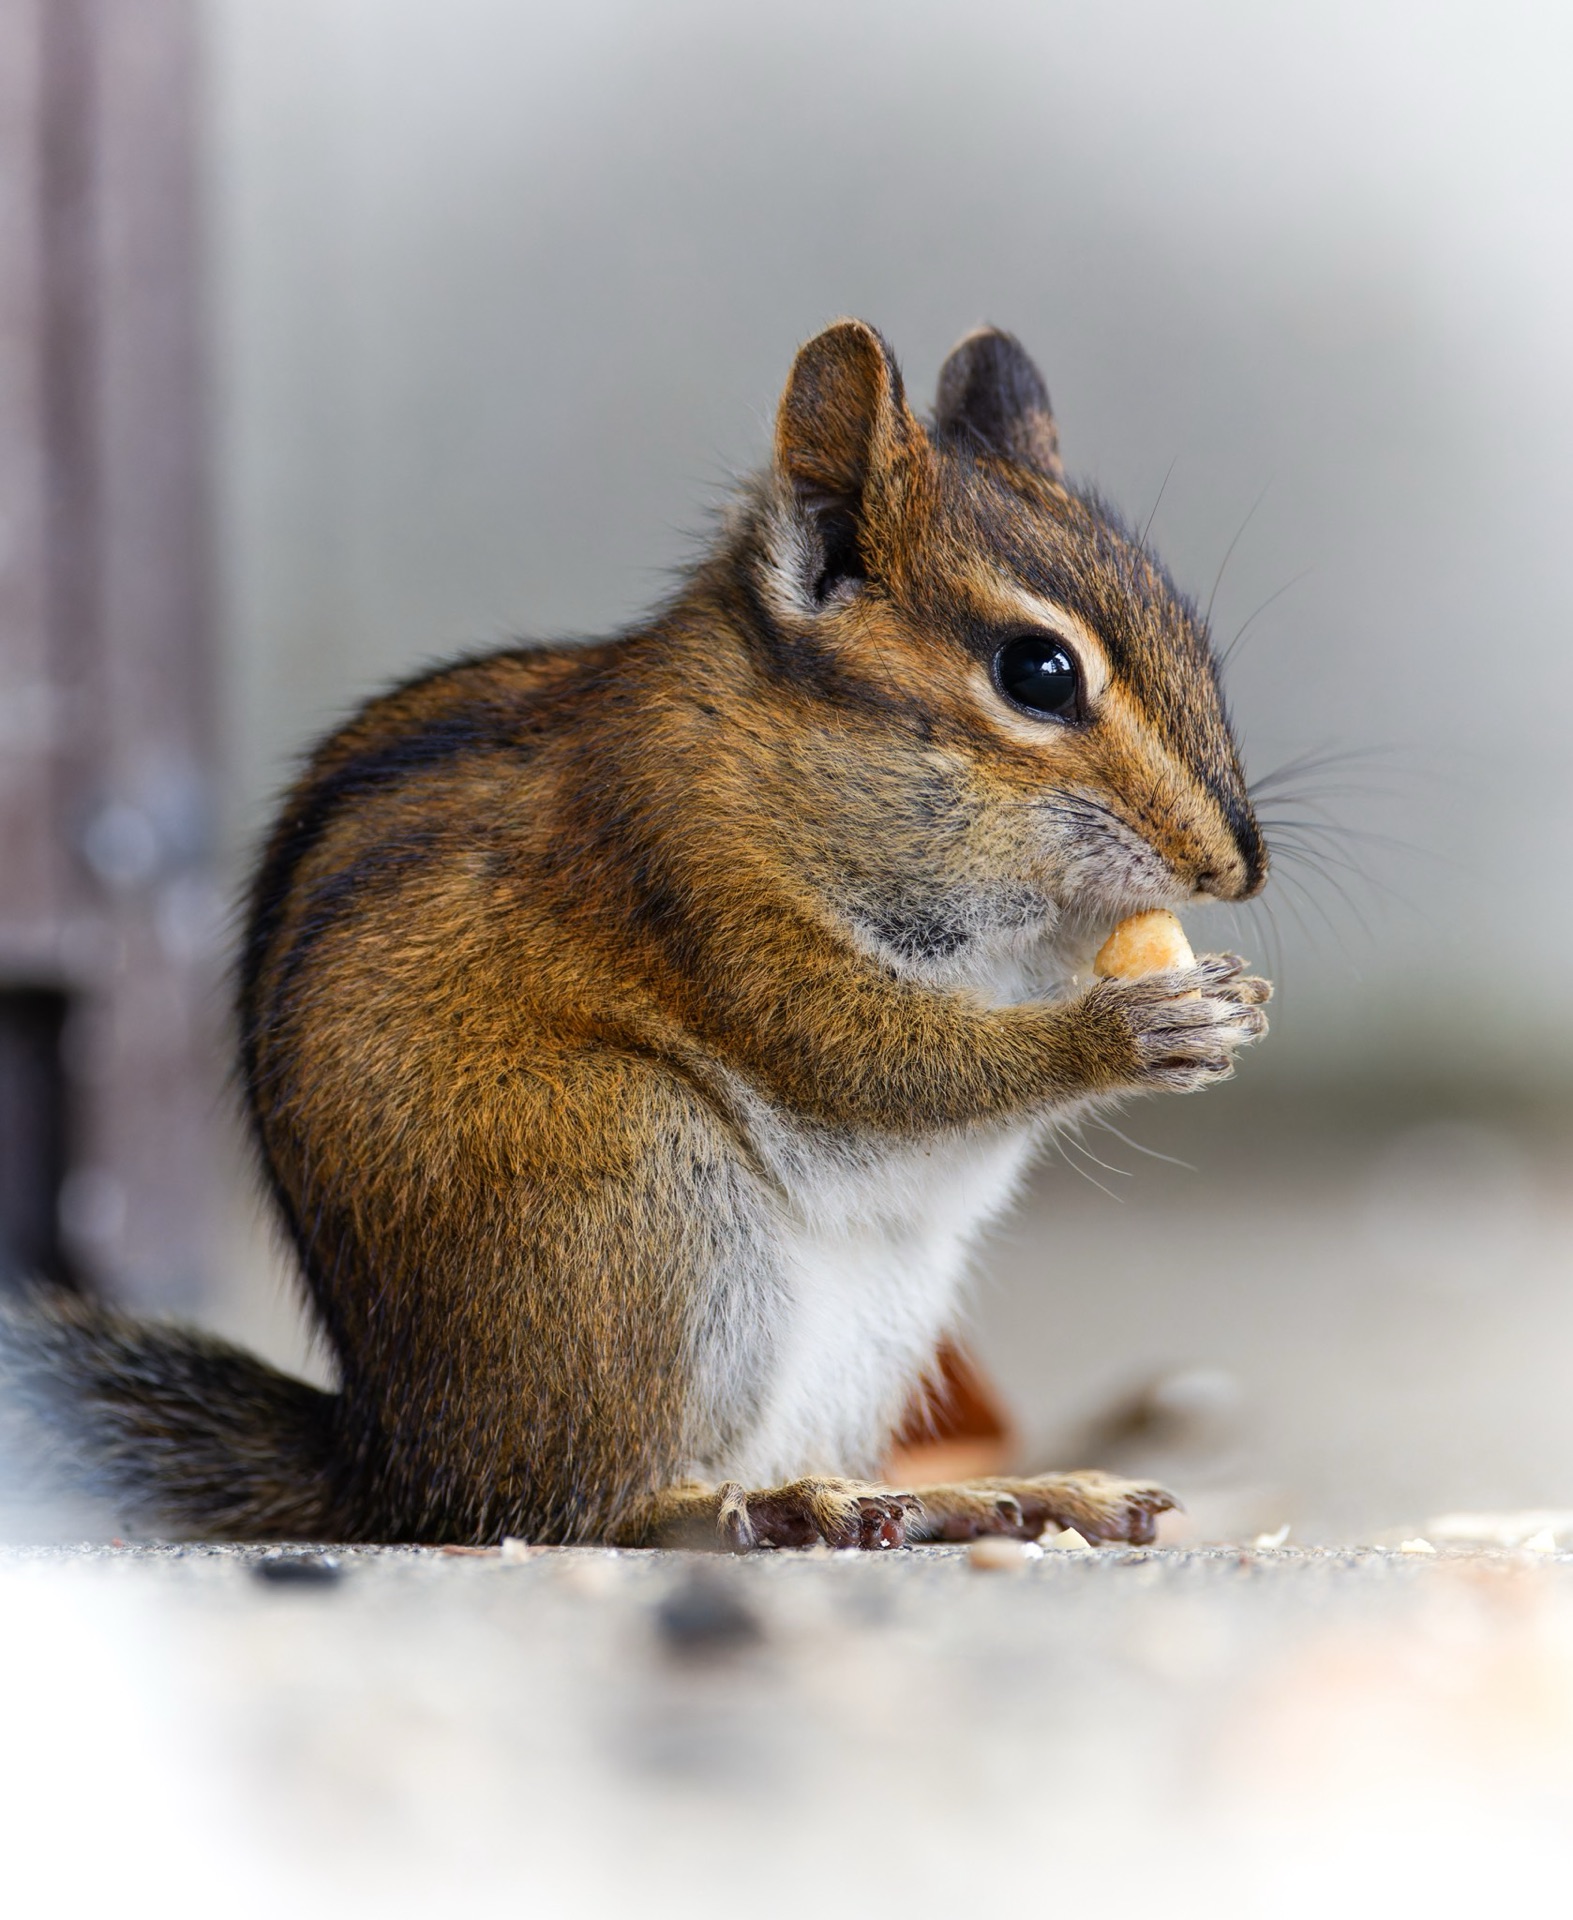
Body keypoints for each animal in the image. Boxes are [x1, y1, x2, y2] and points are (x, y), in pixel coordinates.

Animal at [0, 321, 1269, 1550]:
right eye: (1036, 671)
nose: (1236, 866)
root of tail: (390, 1460)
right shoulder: (694, 885)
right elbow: (875, 1061)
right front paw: (1131, 1031)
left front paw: (1229, 1000)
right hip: (636, 1194)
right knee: (573, 1507)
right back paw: (762, 1508)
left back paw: (998, 1495)